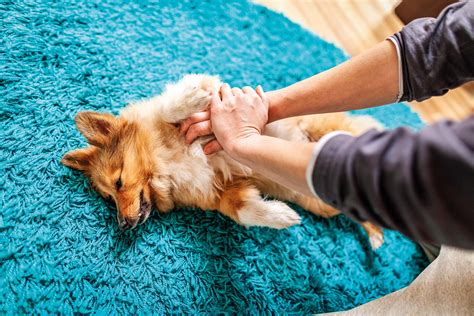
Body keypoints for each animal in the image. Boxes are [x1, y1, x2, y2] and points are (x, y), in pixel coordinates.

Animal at [60, 74, 386, 249]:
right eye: (109, 199)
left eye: (118, 183)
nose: (123, 225)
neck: (164, 164)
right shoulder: (223, 190)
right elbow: (243, 211)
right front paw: (281, 216)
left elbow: (169, 109)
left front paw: (191, 97)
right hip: (324, 199)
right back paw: (376, 235)